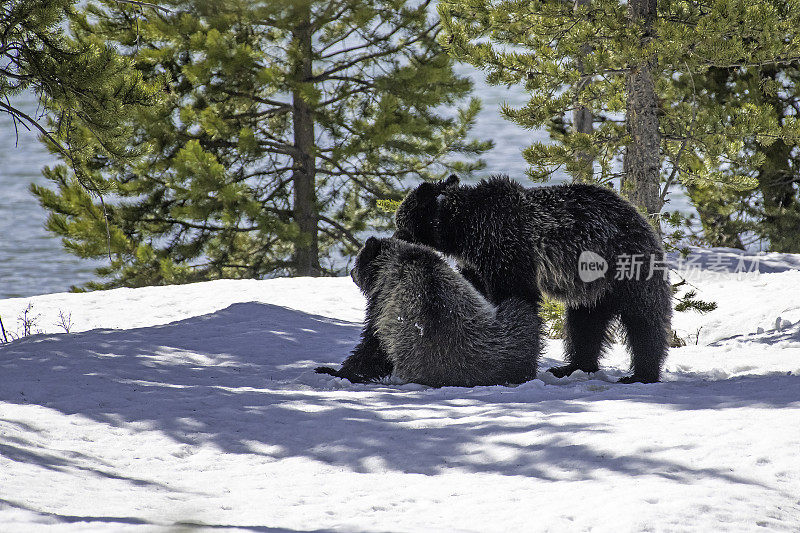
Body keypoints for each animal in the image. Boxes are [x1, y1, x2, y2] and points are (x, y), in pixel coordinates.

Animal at [316, 237, 540, 386]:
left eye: (357, 259)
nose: (351, 273)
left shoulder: (382, 304)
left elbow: (372, 347)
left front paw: (336, 371)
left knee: (519, 308)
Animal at [392, 175, 668, 382]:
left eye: (401, 223)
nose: (394, 236)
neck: (464, 229)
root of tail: (642, 219)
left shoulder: (505, 246)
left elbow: (516, 295)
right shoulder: (480, 260)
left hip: (625, 268)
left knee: (643, 320)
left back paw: (641, 374)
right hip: (593, 289)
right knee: (585, 324)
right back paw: (572, 366)